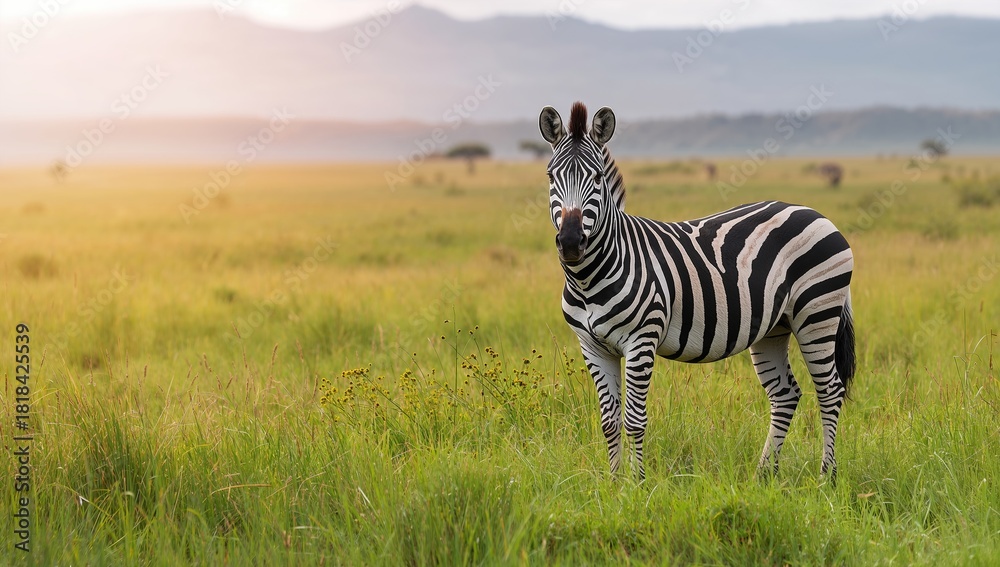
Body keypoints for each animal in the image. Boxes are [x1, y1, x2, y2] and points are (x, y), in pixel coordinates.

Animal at [538, 102, 855, 481]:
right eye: (550, 176)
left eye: (598, 177)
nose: (571, 243)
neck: (588, 279)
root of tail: (813, 212)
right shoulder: (592, 346)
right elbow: (609, 422)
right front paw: (614, 484)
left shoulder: (641, 340)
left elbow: (633, 420)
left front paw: (637, 484)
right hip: (774, 328)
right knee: (785, 394)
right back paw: (764, 474)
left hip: (817, 312)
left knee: (830, 391)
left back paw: (826, 478)